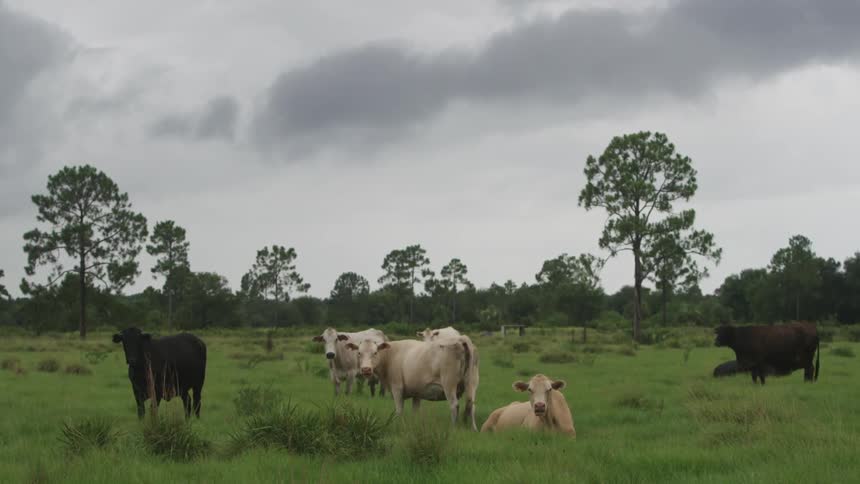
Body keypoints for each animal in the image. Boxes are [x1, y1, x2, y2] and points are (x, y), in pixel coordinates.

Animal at [347, 335, 480, 431]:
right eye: (359, 353)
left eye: (375, 353)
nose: (366, 369)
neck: (391, 355)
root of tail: (461, 338)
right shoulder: (417, 392)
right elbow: (415, 411)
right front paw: (414, 426)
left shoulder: (397, 388)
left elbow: (399, 410)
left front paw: (399, 426)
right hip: (472, 382)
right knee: (471, 405)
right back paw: (474, 429)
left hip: (449, 384)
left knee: (454, 405)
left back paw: (453, 428)